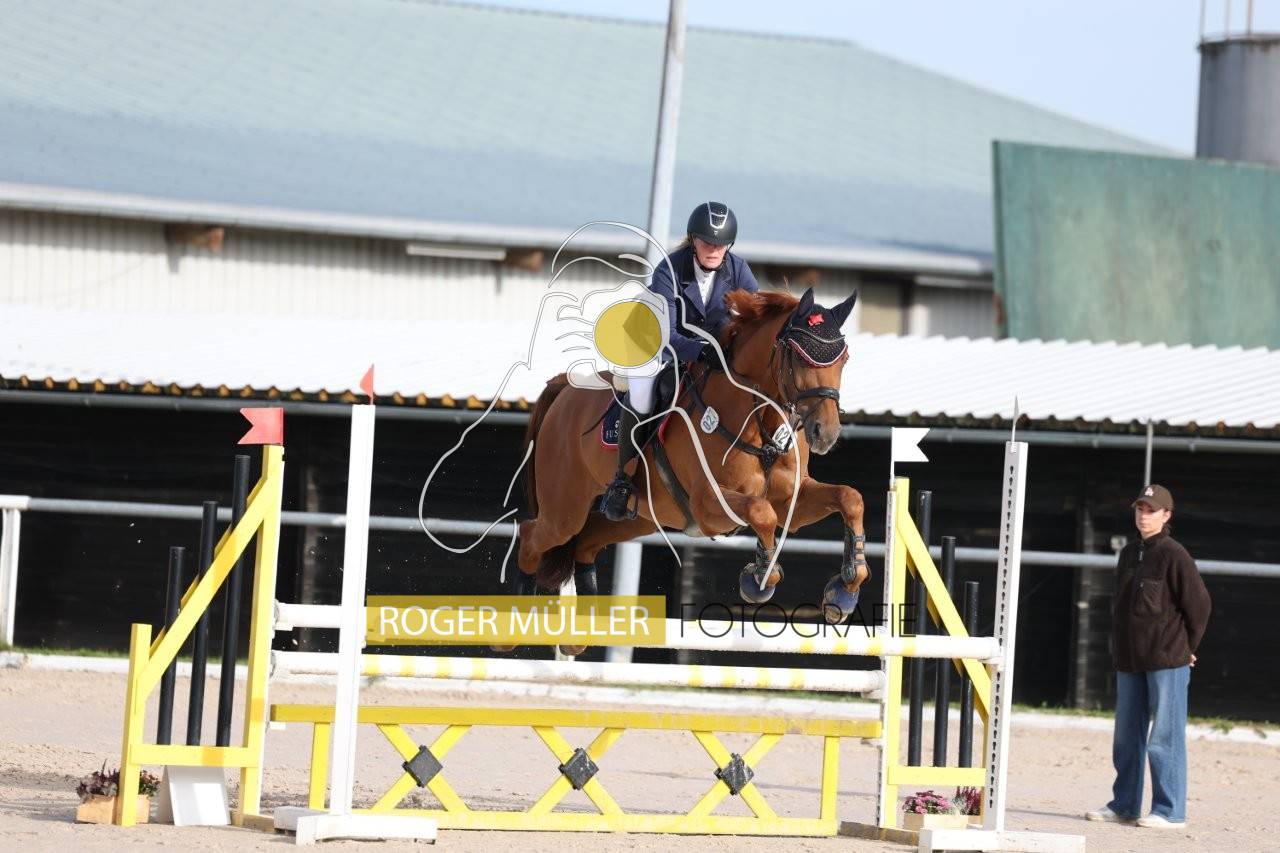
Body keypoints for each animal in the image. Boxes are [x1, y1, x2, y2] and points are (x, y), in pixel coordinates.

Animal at [514, 287, 869, 653]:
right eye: (798, 356)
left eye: (843, 359)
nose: (825, 434)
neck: (762, 420)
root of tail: (564, 388)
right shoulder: (707, 503)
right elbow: (762, 512)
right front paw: (758, 580)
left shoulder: (792, 503)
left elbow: (849, 498)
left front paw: (844, 591)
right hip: (564, 510)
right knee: (532, 533)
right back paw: (515, 625)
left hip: (639, 518)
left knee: (585, 543)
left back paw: (579, 636)